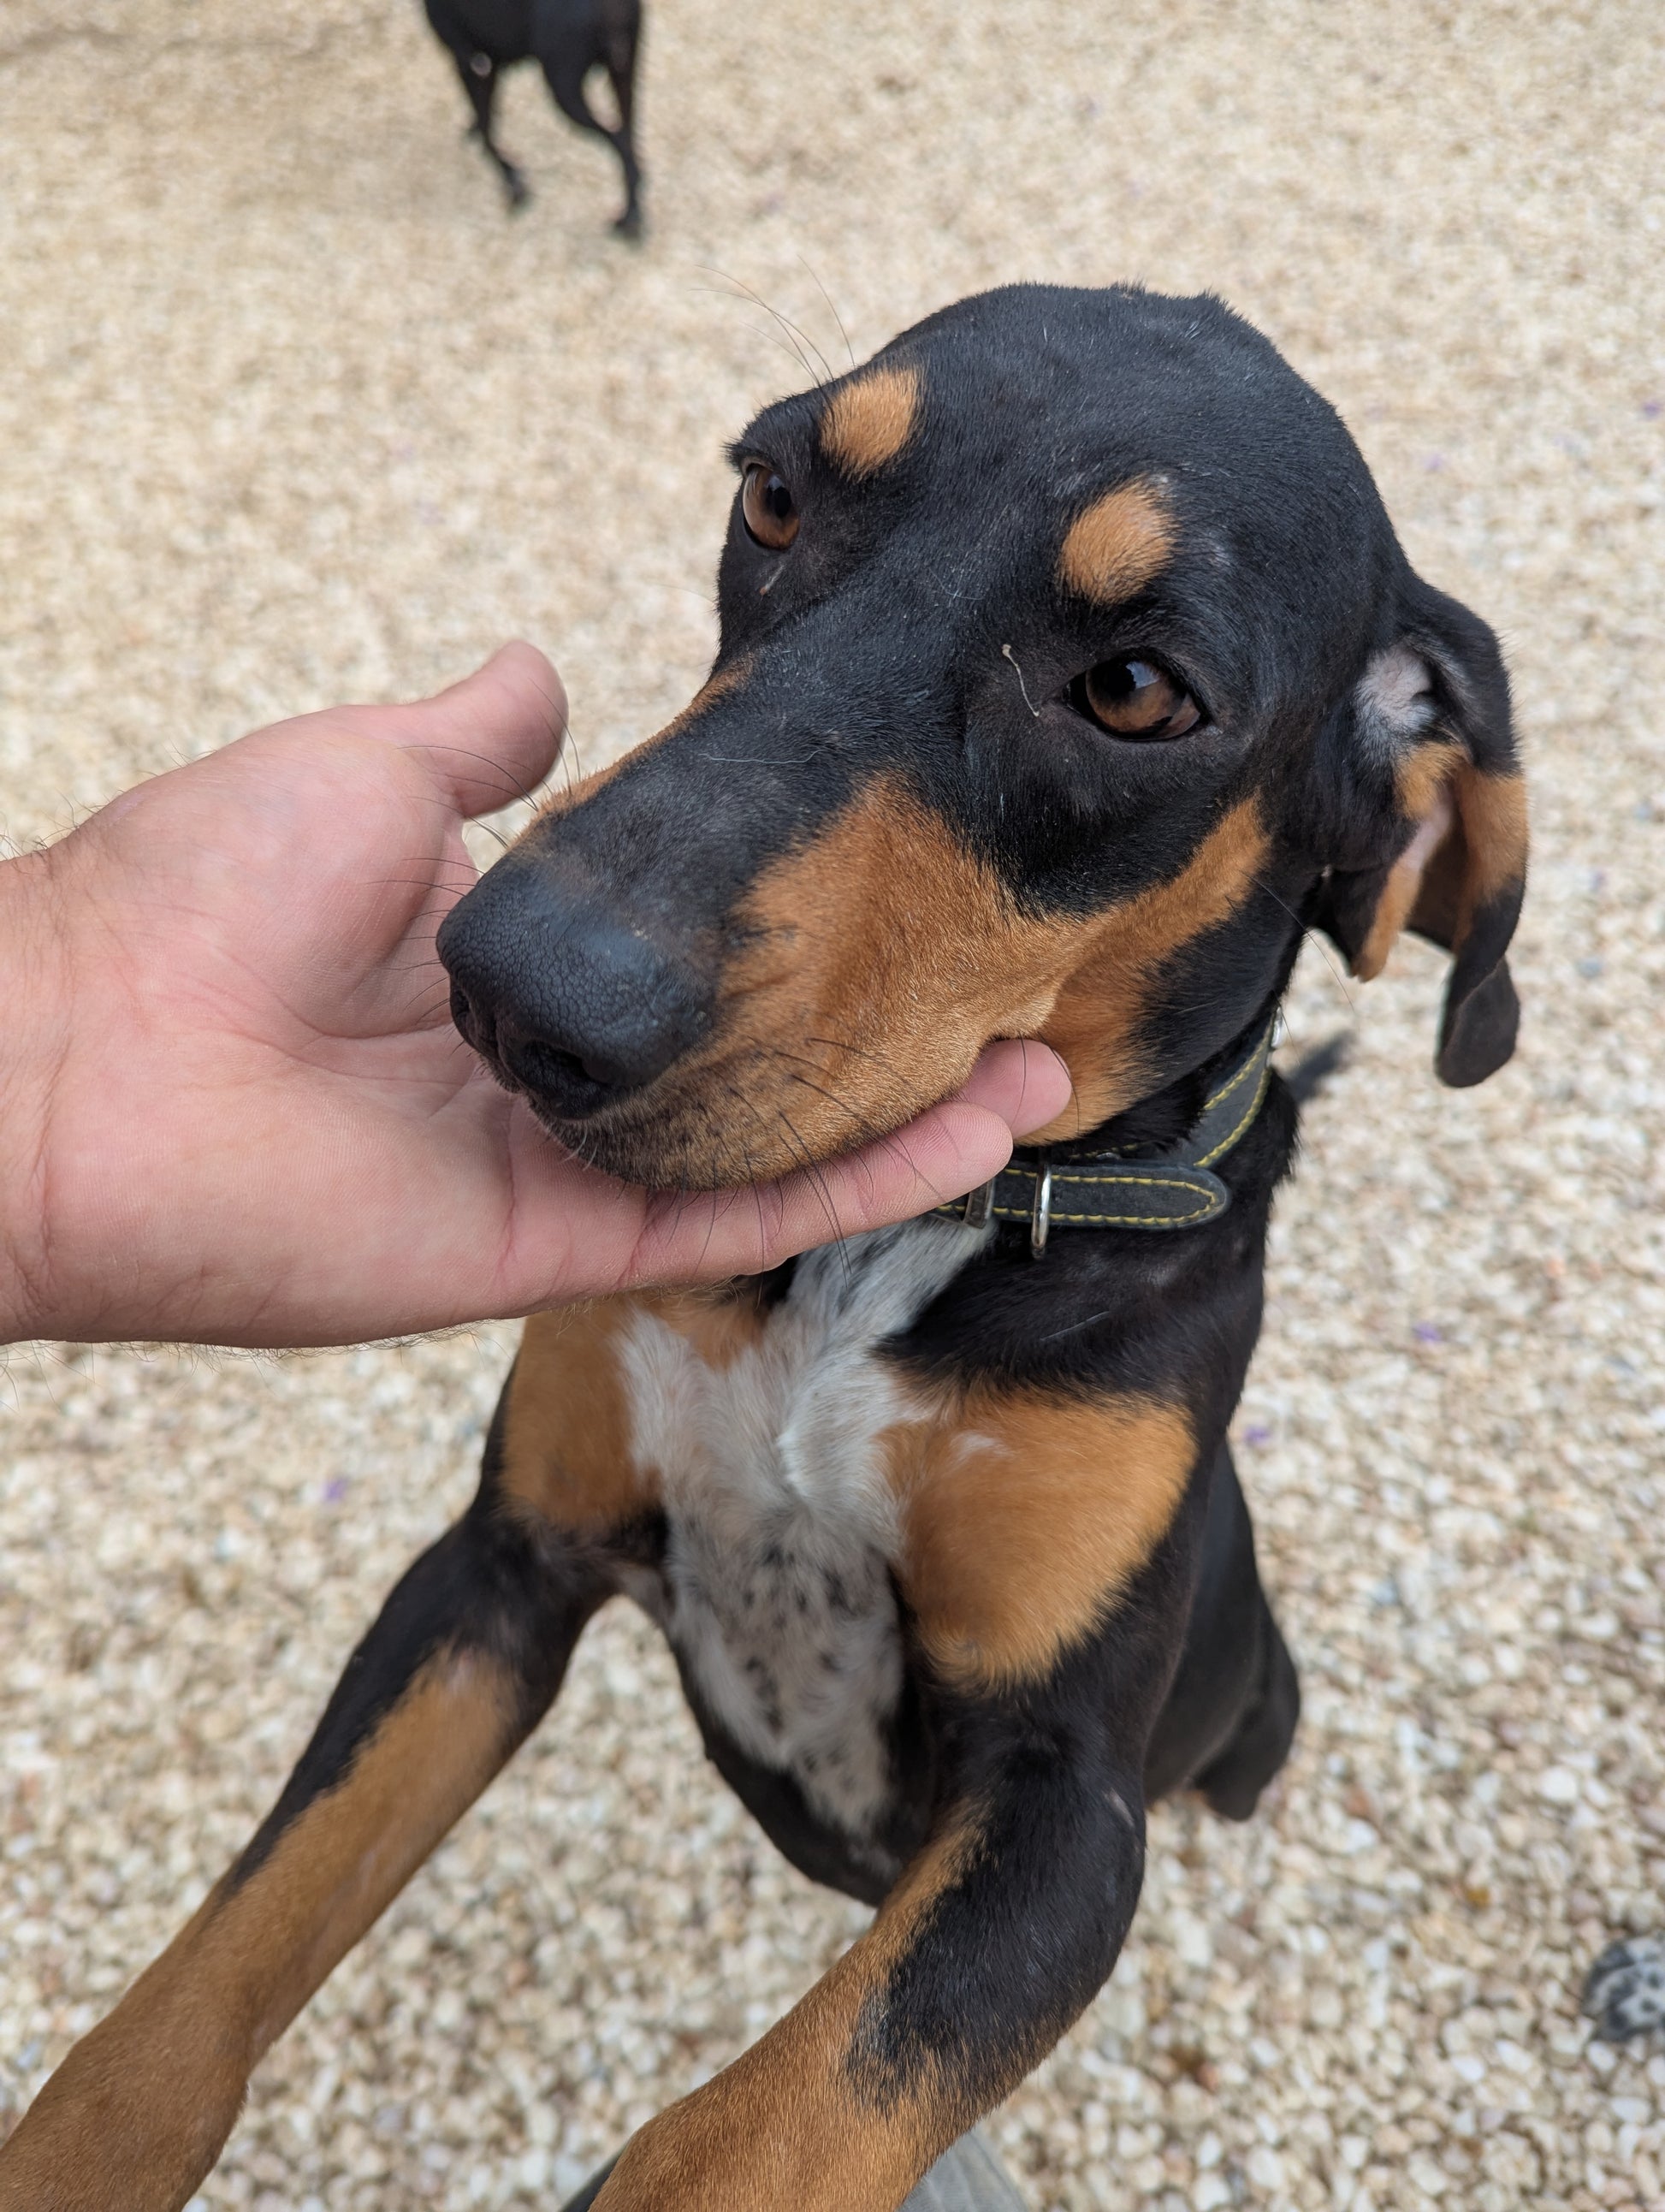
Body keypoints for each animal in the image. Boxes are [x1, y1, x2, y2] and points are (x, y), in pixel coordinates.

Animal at [0, 284, 1528, 2211]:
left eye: (1133, 691)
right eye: (775, 496)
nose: (520, 988)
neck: (892, 1247)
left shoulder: (1063, 1805)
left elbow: (752, 2130)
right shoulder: (498, 1568)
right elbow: (187, 2001)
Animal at [422, 0, 643, 234]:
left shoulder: (468, 59)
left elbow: (486, 127)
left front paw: (513, 182)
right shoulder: (491, 60)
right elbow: (486, 120)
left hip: (565, 87)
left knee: (621, 142)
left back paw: (629, 220)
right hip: (623, 71)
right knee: (629, 138)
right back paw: (633, 213)